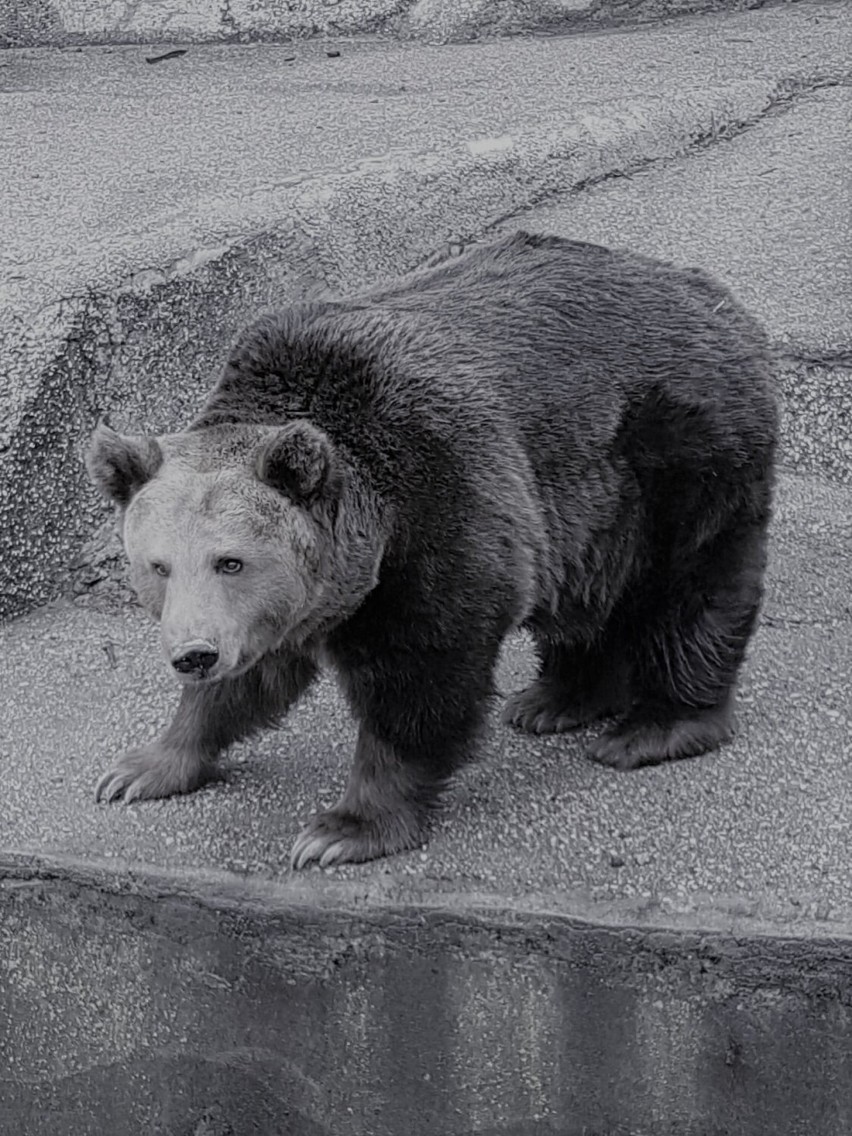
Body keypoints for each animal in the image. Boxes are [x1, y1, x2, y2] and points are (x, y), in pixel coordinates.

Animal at [86, 230, 781, 867]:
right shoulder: (292, 602)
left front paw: (343, 829)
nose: (194, 654)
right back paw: (555, 699)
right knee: (587, 596)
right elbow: (250, 677)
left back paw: (654, 725)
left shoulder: (438, 508)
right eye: (158, 566)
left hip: (677, 454)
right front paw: (141, 767)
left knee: (689, 587)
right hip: (594, 507)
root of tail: (714, 295)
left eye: (230, 560)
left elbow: (423, 675)